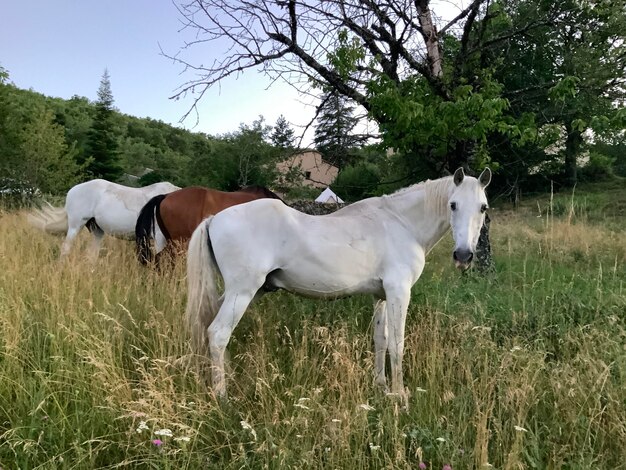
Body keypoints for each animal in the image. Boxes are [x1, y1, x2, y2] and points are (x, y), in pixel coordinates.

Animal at [27, 177, 178, 258]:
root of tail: (73, 189)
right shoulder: (159, 239)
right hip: (75, 226)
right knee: (65, 249)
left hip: (97, 230)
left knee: (92, 254)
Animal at [183, 167, 490, 398]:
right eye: (453, 205)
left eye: (483, 208)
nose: (464, 255)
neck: (401, 223)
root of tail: (213, 219)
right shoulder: (399, 292)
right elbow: (397, 344)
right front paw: (399, 396)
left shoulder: (381, 295)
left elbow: (381, 339)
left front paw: (380, 387)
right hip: (243, 292)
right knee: (218, 334)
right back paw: (222, 397)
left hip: (243, 293)